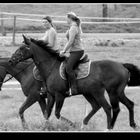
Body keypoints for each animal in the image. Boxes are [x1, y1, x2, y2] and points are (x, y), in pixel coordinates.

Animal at [9, 34, 138, 130]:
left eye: (22, 48)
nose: (11, 60)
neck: (51, 67)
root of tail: (122, 65)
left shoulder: (59, 95)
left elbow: (56, 113)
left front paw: (71, 124)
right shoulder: (50, 95)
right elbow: (47, 113)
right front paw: (45, 127)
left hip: (107, 92)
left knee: (109, 108)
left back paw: (108, 127)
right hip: (104, 92)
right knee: (126, 105)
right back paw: (132, 125)